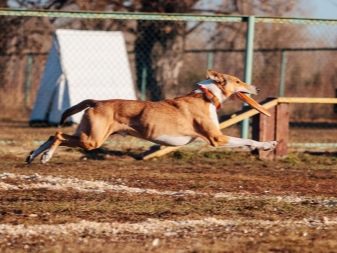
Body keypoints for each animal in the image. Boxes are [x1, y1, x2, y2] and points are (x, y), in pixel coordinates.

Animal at [26, 69, 276, 164]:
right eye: (238, 81)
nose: (257, 88)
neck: (207, 96)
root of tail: (96, 101)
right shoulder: (217, 138)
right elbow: (248, 140)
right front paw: (268, 144)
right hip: (92, 140)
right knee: (58, 135)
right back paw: (45, 157)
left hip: (88, 135)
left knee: (53, 134)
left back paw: (32, 155)